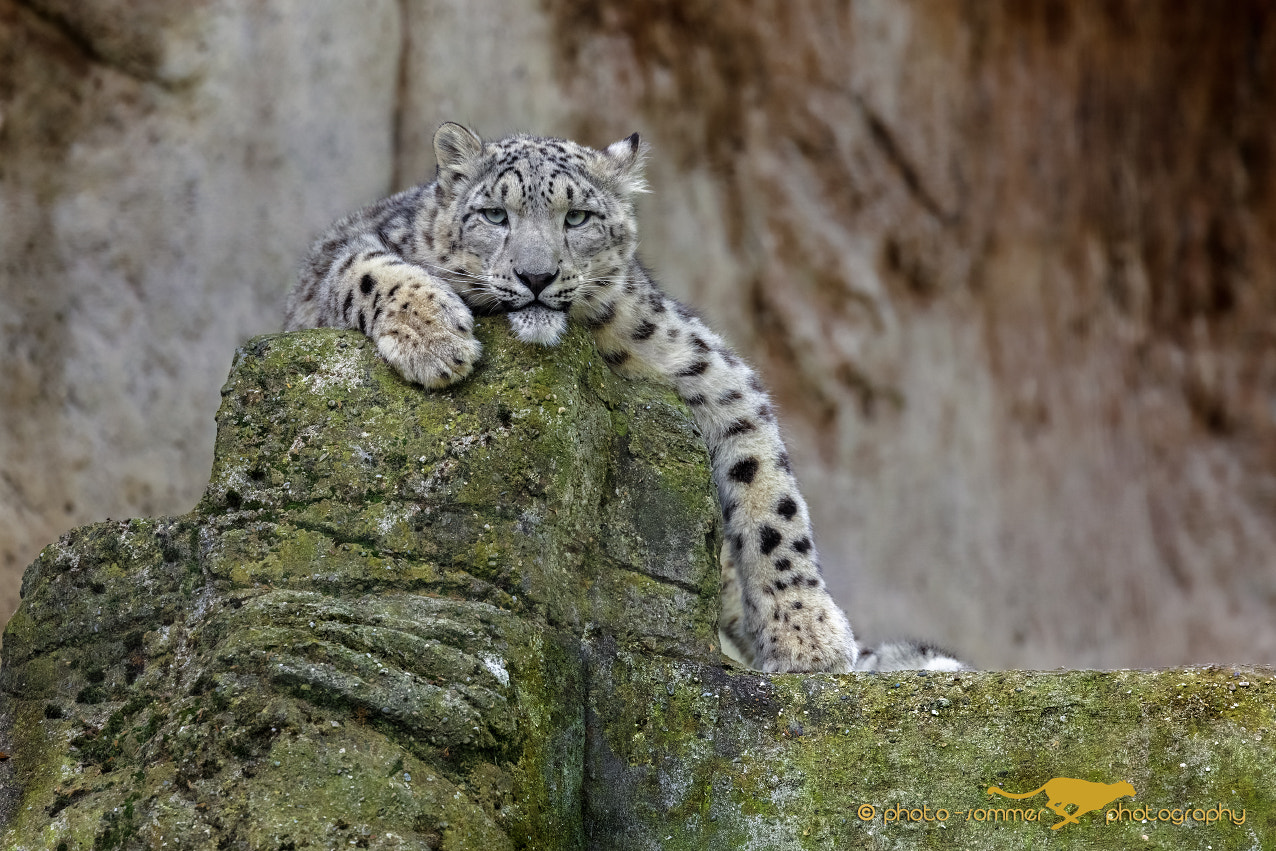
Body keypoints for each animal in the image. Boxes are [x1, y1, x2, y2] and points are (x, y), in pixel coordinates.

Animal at [281, 123, 959, 673]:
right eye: (495, 214)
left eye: (577, 218)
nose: (535, 276)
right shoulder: (339, 264)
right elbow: (371, 268)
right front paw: (437, 339)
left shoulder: (706, 364)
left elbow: (772, 498)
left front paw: (807, 636)